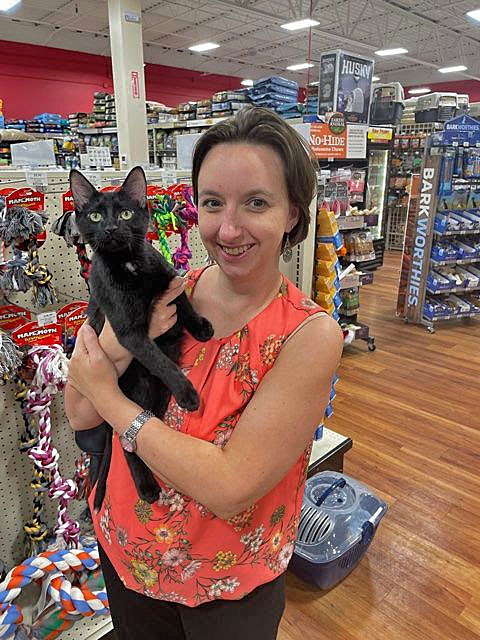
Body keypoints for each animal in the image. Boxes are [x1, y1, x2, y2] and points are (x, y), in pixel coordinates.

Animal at [69, 168, 214, 512]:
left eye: (125, 213)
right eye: (95, 216)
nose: (111, 228)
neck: (130, 263)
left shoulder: (169, 278)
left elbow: (184, 303)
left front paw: (201, 327)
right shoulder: (129, 332)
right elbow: (160, 360)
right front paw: (188, 394)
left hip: (155, 397)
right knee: (127, 443)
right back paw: (146, 488)